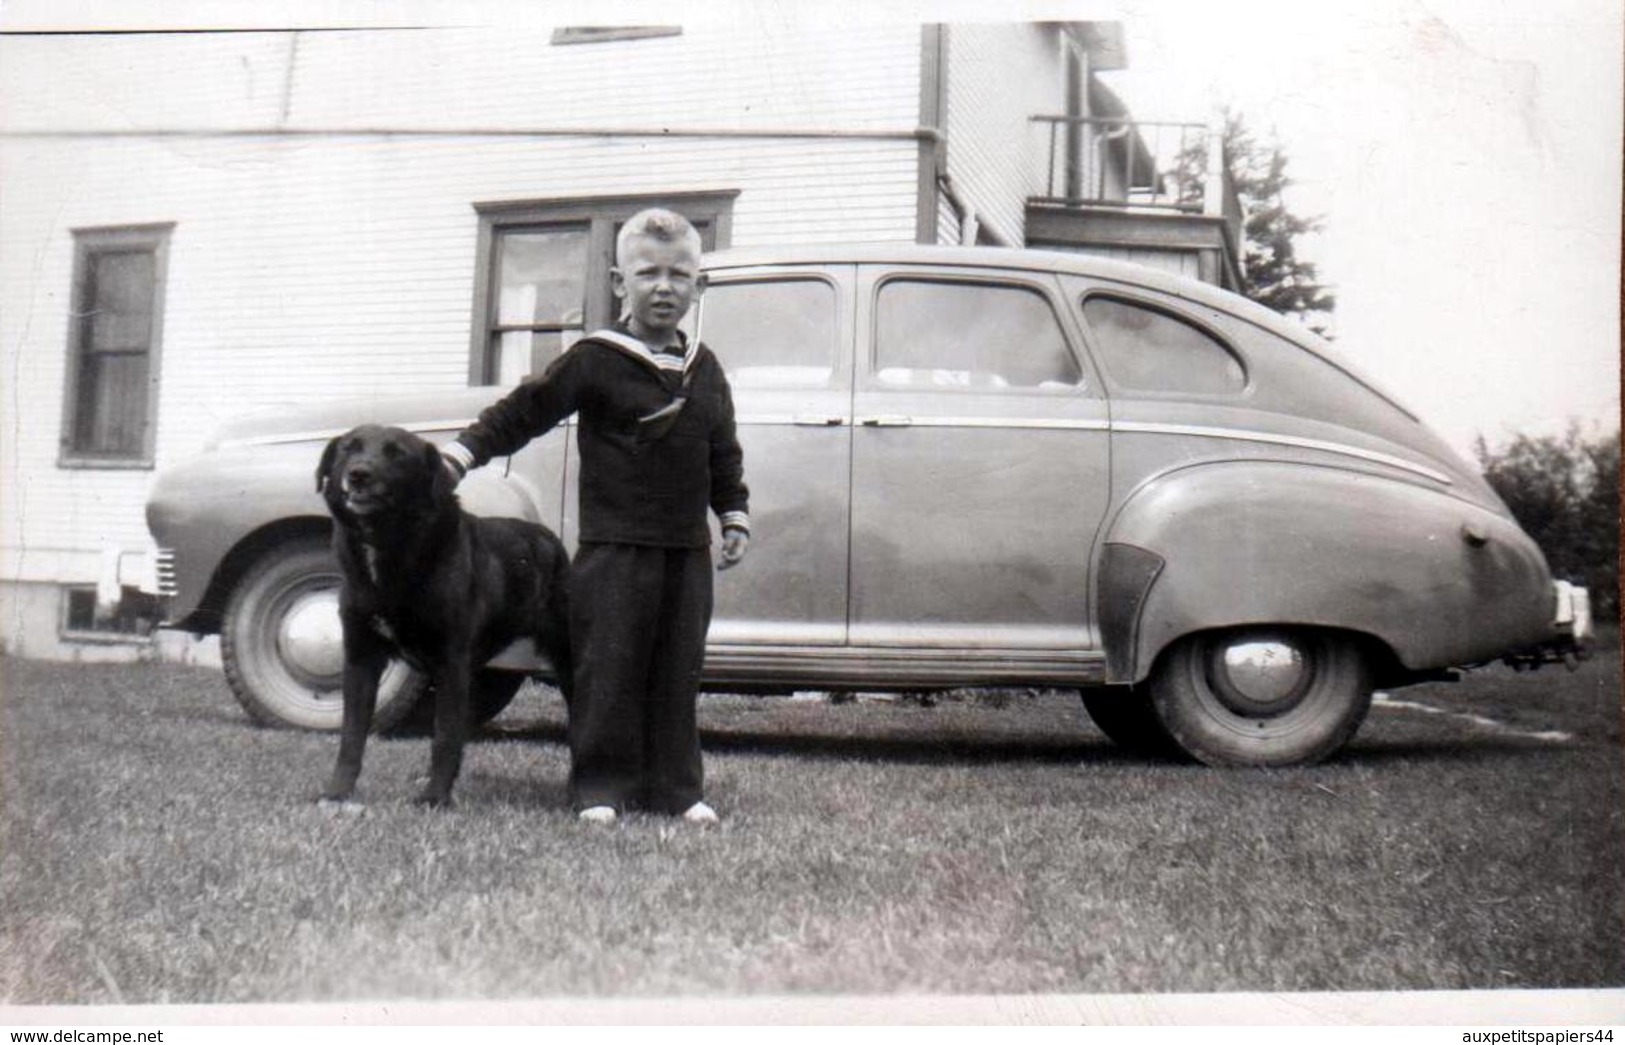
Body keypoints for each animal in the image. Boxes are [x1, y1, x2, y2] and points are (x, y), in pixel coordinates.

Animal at [315, 425, 572, 809]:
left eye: (396, 453)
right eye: (349, 448)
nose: (358, 474)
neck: (389, 546)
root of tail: (549, 537)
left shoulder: (451, 662)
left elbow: (445, 737)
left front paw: (434, 797)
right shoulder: (360, 657)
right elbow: (351, 736)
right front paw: (337, 792)